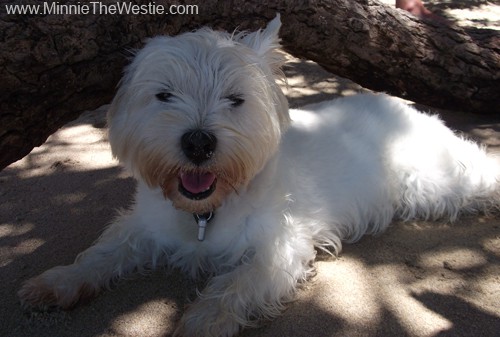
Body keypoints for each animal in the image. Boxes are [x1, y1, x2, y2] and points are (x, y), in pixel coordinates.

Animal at [17, 15, 498, 336]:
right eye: (164, 95)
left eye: (236, 99)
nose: (198, 143)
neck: (205, 212)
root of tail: (401, 105)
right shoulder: (144, 224)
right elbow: (102, 251)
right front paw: (57, 283)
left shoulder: (280, 247)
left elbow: (235, 284)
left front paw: (201, 322)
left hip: (435, 181)